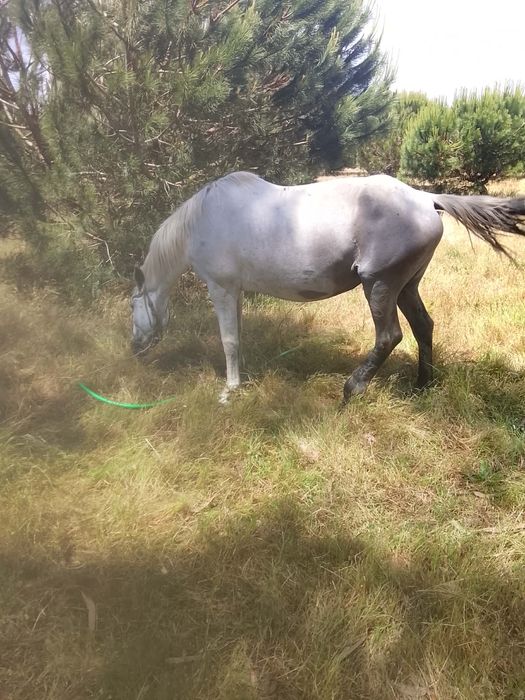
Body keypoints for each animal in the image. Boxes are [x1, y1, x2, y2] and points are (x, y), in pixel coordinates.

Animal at [131, 172, 524, 403]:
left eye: (133, 306)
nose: (134, 348)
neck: (202, 220)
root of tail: (425, 199)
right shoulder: (236, 291)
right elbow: (238, 335)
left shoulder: (222, 288)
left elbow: (228, 339)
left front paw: (230, 390)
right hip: (407, 286)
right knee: (423, 326)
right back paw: (422, 385)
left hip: (380, 285)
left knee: (389, 336)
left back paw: (353, 389)